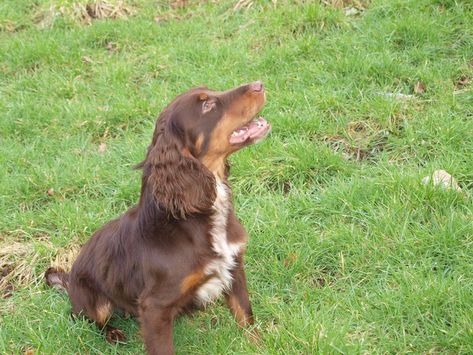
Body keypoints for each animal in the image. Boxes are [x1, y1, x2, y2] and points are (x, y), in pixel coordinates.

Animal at [46, 81, 272, 355]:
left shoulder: (234, 267)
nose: (259, 84)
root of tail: (69, 280)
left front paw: (258, 345)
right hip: (93, 300)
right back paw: (113, 333)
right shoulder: (154, 306)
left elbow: (245, 314)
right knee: (88, 318)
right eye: (207, 105)